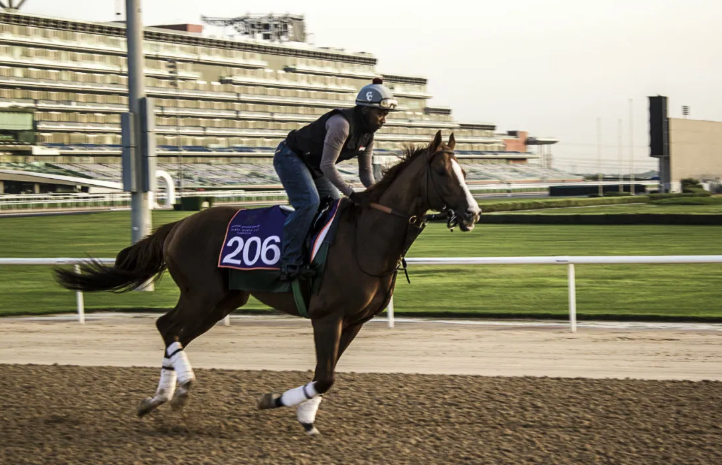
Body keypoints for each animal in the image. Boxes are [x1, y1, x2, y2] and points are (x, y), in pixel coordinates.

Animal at [54, 129, 478, 434]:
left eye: (466, 173)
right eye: (443, 172)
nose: (473, 213)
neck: (366, 237)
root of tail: (179, 224)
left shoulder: (354, 320)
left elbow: (326, 375)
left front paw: (304, 417)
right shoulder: (327, 315)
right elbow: (325, 376)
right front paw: (272, 402)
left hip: (223, 301)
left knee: (173, 331)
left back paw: (159, 398)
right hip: (202, 294)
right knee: (167, 325)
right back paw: (179, 390)